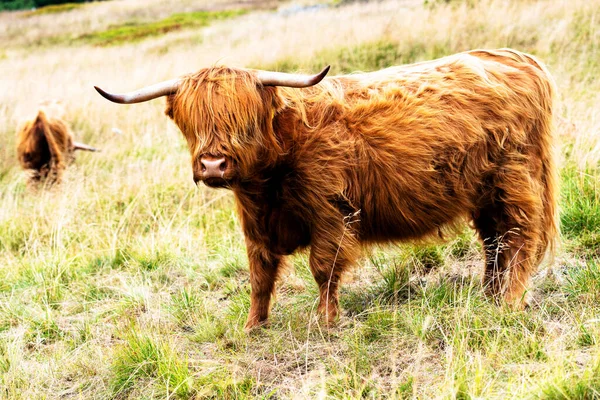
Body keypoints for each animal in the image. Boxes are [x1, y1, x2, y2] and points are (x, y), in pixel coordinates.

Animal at [94, 48, 556, 330]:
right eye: (192, 121)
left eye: (245, 120)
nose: (212, 164)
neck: (268, 184)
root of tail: (520, 60)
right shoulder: (255, 225)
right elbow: (259, 275)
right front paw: (253, 326)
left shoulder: (331, 212)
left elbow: (323, 267)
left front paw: (326, 319)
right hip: (482, 193)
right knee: (494, 241)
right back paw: (489, 294)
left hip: (514, 181)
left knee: (519, 236)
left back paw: (509, 302)